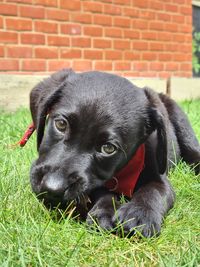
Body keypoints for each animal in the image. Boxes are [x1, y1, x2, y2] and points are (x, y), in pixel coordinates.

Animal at [28, 69, 199, 239]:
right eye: (61, 124)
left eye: (108, 148)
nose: (52, 189)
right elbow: (101, 191)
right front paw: (106, 211)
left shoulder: (160, 178)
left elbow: (154, 191)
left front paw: (139, 215)